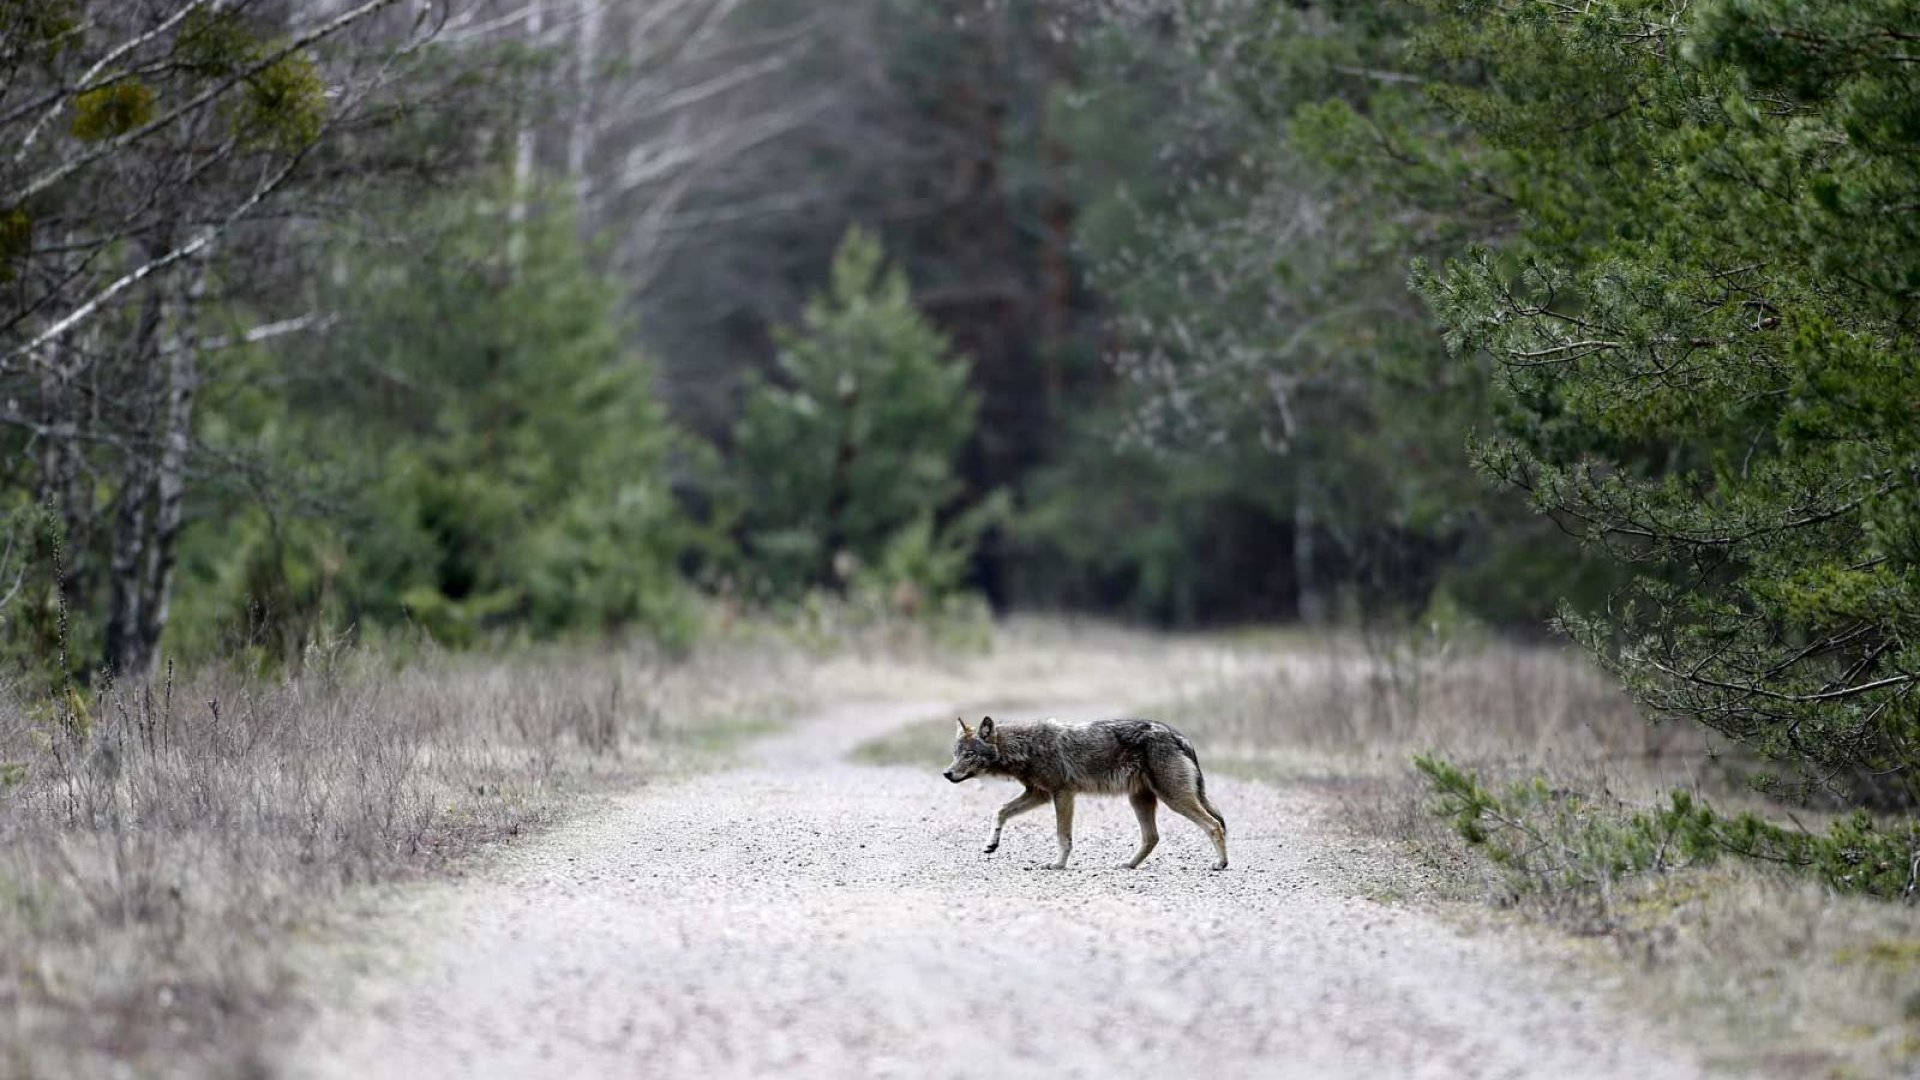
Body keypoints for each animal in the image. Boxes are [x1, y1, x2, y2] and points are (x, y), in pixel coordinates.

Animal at [943, 716, 1229, 870]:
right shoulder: (1039, 794)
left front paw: (1057, 865)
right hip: (1140, 800)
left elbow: (1063, 836)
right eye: (955, 754)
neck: (1025, 747)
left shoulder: (1062, 794)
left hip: (1174, 799)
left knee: (1214, 825)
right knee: (1152, 837)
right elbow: (1000, 811)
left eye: (969, 755)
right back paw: (1128, 865)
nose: (946, 773)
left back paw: (1221, 864)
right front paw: (992, 844)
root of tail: (1180, 737)